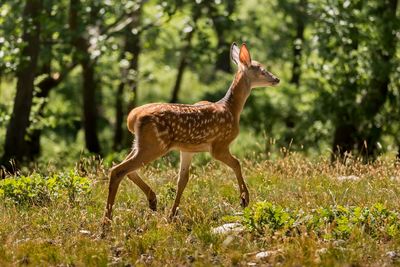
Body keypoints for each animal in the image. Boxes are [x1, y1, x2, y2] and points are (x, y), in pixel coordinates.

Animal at [101, 42, 280, 230]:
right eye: (262, 69)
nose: (276, 79)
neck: (231, 109)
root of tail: (132, 117)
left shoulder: (187, 150)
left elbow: (182, 180)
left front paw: (172, 215)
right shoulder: (219, 145)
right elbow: (237, 163)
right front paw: (244, 199)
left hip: (141, 143)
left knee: (126, 169)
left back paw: (152, 200)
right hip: (154, 145)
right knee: (118, 170)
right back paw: (106, 223)